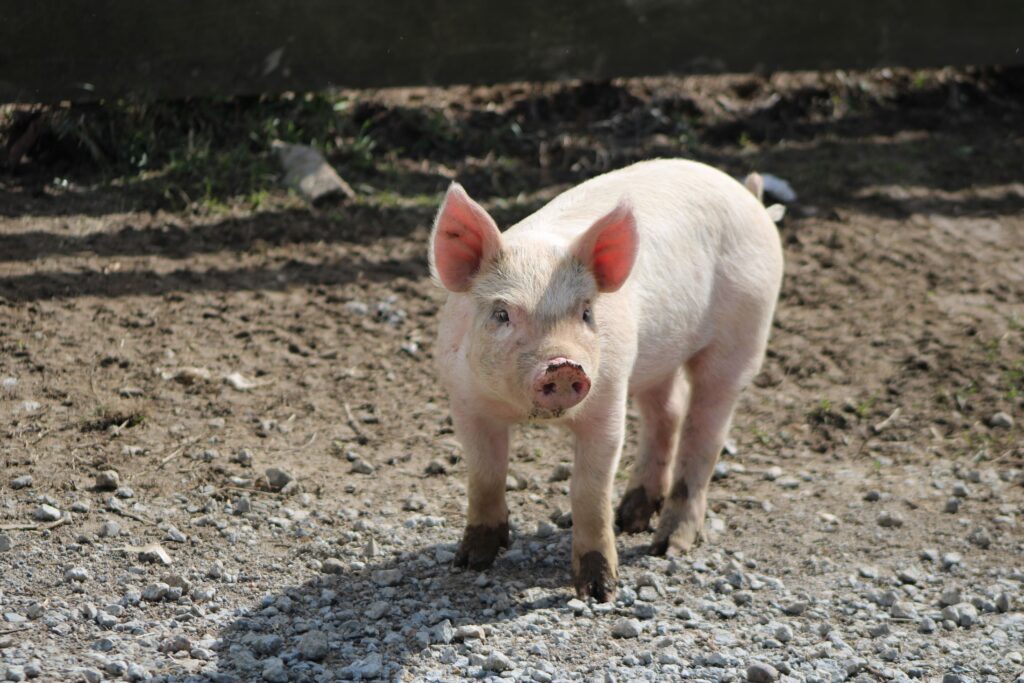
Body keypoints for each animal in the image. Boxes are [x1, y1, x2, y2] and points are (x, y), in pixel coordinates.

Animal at [429, 159, 783, 601]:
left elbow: (588, 490)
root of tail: (748, 196)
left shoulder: (609, 396)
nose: (563, 365)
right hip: (655, 359)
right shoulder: (464, 400)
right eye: (501, 313)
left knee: (705, 434)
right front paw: (470, 561)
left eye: (586, 313)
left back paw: (666, 546)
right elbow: (484, 474)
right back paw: (630, 519)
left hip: (742, 335)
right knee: (668, 411)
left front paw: (600, 592)